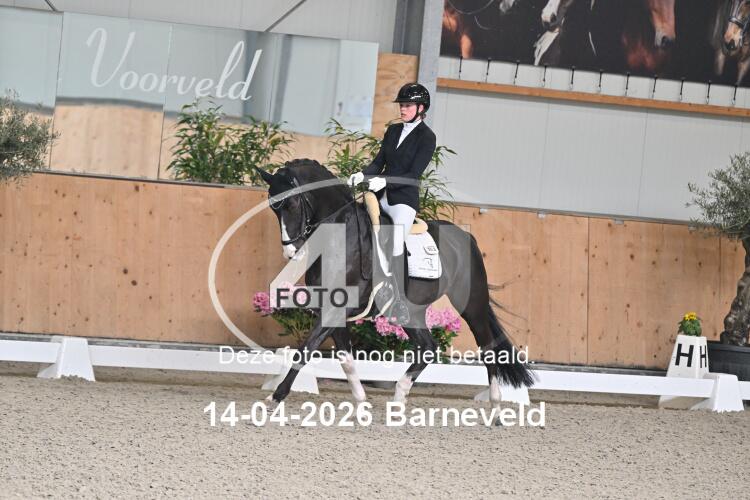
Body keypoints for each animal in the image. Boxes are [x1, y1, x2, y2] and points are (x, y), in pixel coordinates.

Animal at [255, 159, 535, 411]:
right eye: (273, 206)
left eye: (292, 203)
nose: (291, 251)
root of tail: (467, 237)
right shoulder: (333, 310)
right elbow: (346, 360)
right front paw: (362, 403)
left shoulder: (336, 309)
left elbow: (305, 350)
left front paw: (275, 397)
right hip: (412, 312)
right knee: (428, 347)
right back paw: (399, 398)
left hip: (471, 305)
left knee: (488, 348)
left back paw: (495, 406)